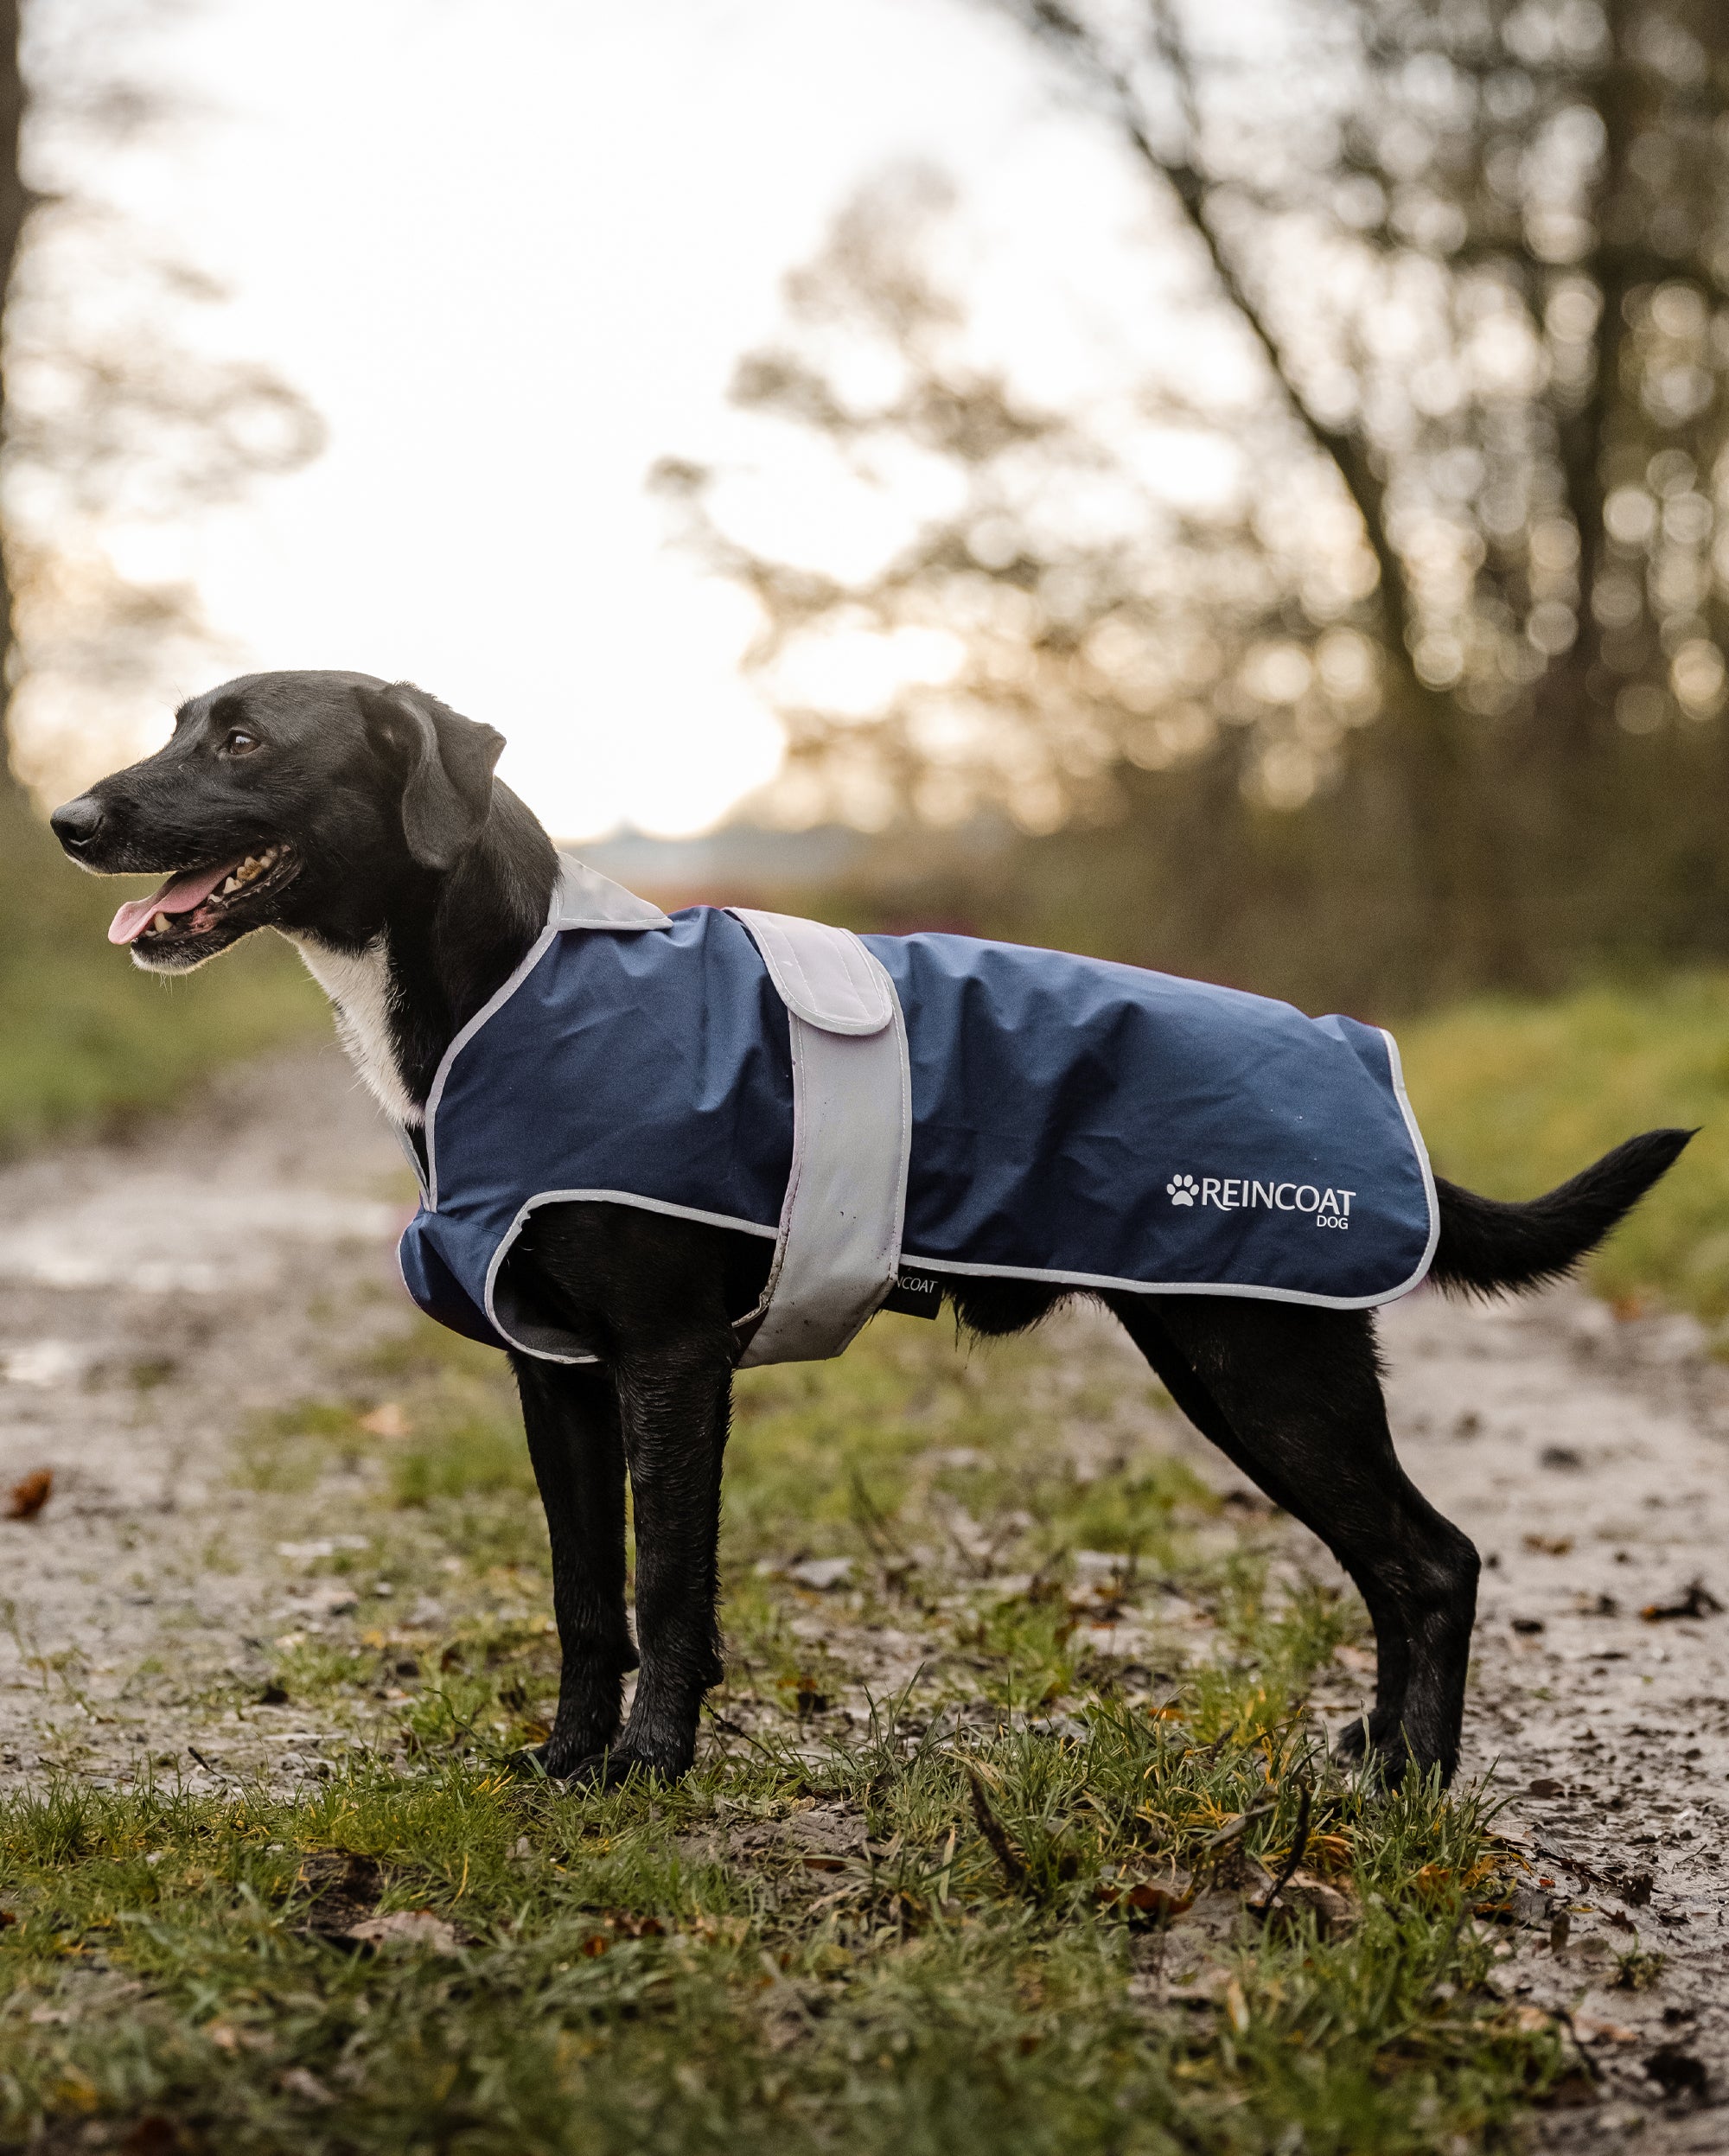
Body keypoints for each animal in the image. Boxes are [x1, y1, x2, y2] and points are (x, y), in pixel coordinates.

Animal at [50, 668, 1681, 1785]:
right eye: (182, 719)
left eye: (244, 740)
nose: (67, 817)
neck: (507, 983)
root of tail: (1352, 1053)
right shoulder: (554, 1374)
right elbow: (584, 1591)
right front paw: (568, 1760)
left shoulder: (668, 1360)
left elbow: (665, 1580)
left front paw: (650, 1767)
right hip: (1248, 1368)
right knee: (1402, 1567)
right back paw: (1378, 1752)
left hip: (1260, 1365)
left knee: (1434, 1560)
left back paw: (1412, 1783)